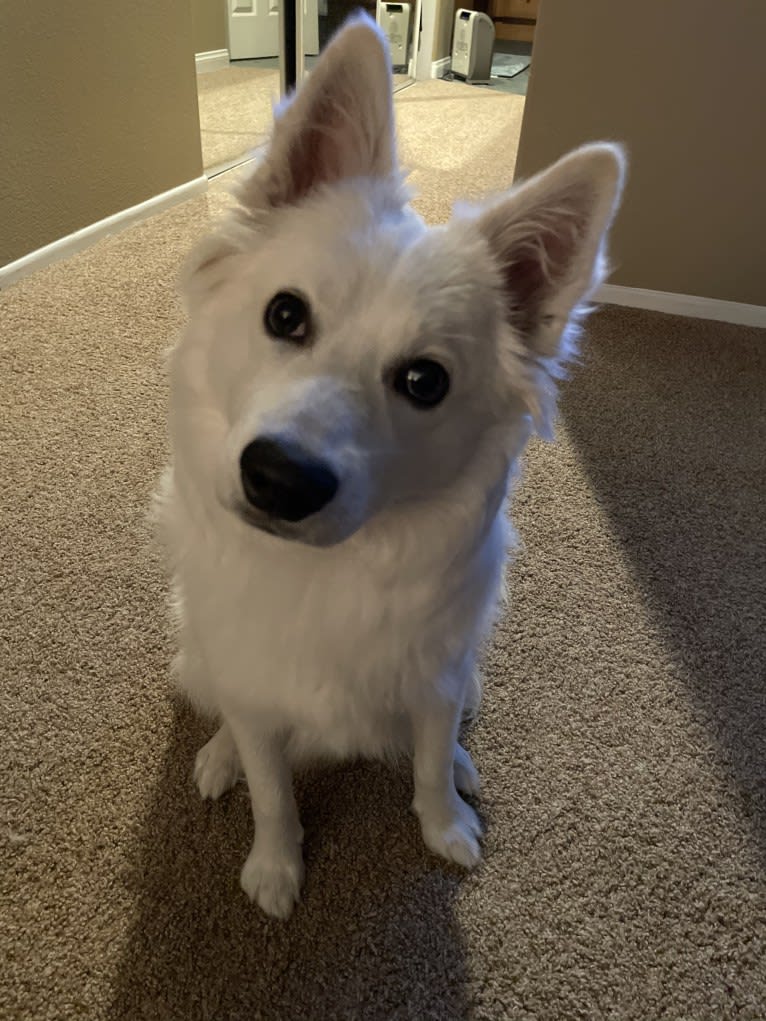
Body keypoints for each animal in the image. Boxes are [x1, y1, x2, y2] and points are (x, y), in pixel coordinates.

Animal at [154, 11, 625, 922]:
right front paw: (275, 865)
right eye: (285, 315)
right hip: (199, 655)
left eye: (423, 381)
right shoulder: (255, 688)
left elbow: (431, 763)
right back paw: (220, 753)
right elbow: (273, 790)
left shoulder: (436, 679)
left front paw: (446, 826)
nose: (280, 479)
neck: (328, 572)